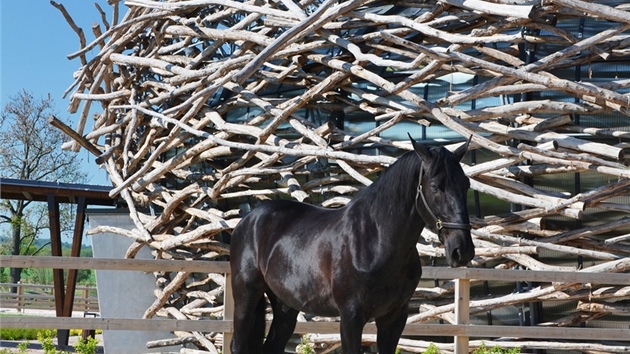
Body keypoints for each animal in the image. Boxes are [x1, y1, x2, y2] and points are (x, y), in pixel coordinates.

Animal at [231, 135, 474, 352]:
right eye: (434, 186)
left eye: (466, 184)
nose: (462, 251)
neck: (375, 242)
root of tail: (249, 219)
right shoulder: (351, 317)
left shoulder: (394, 317)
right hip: (246, 297)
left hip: (285, 307)